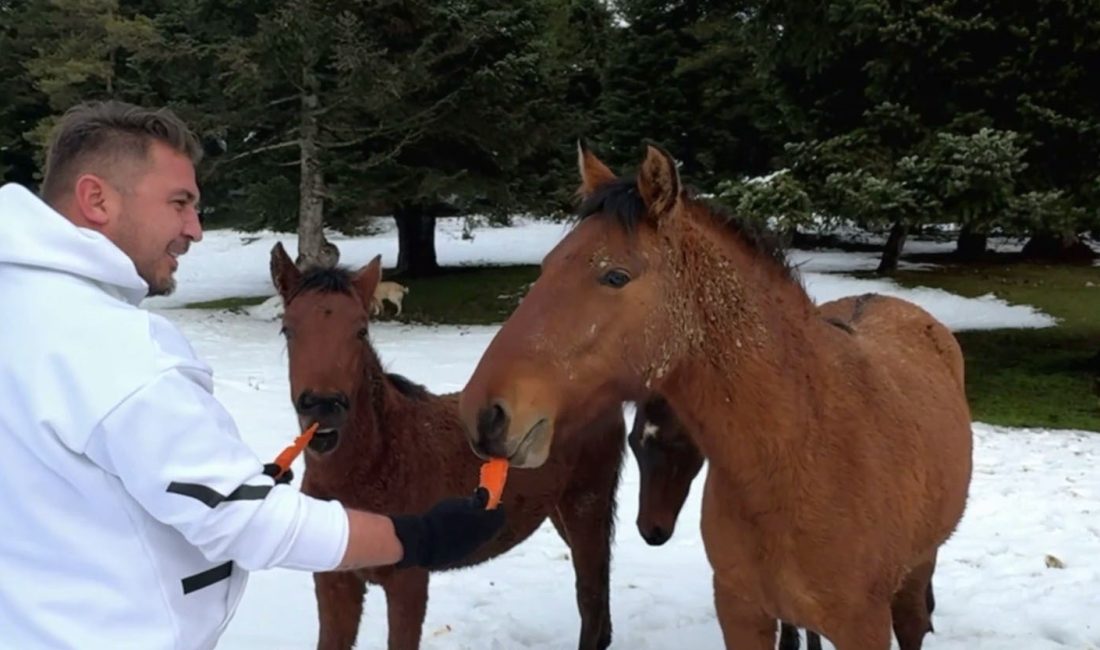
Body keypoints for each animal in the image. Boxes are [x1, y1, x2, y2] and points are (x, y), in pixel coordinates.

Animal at [268, 244, 629, 650]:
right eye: (288, 329)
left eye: (360, 331)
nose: (323, 406)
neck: (377, 463)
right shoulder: (334, 581)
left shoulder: (408, 583)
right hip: (559, 508)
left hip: (587, 503)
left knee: (591, 596)